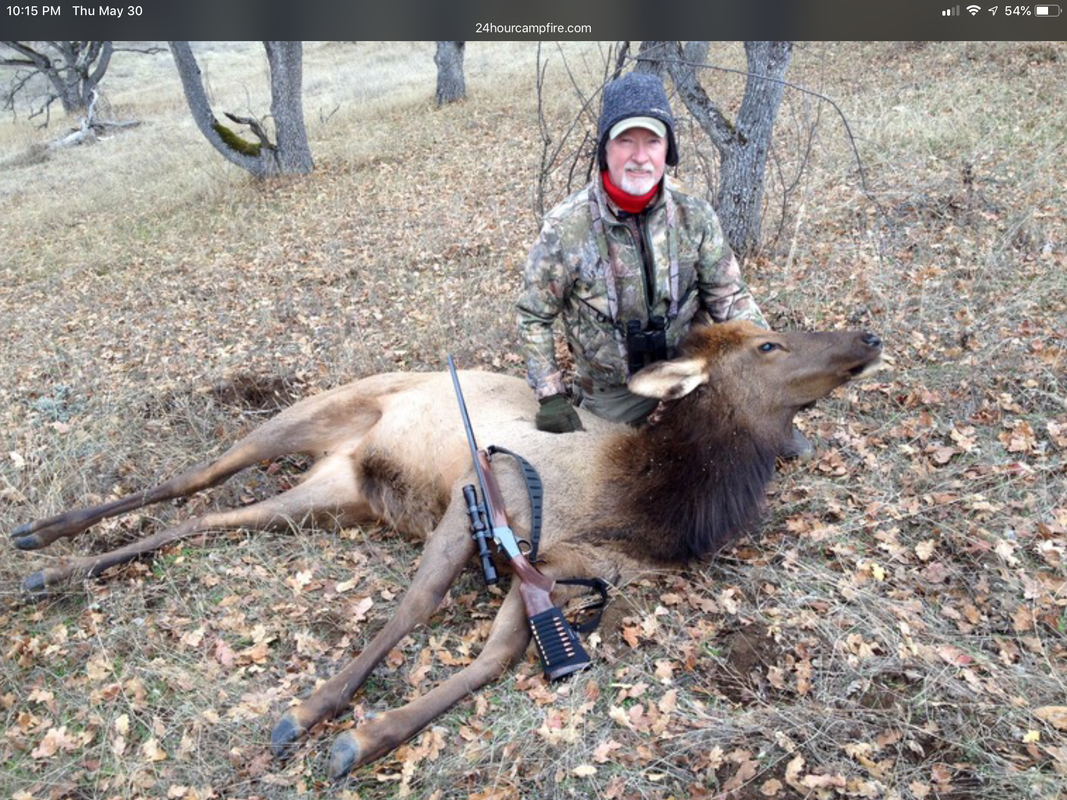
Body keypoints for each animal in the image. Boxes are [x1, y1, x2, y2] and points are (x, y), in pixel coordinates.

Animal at [9, 320, 882, 780]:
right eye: (768, 344)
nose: (866, 335)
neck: (655, 506)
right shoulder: (485, 490)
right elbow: (416, 605)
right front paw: (310, 713)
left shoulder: (568, 569)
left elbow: (498, 656)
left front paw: (369, 735)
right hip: (305, 417)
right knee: (191, 477)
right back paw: (39, 539)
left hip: (331, 492)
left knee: (208, 522)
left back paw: (54, 568)